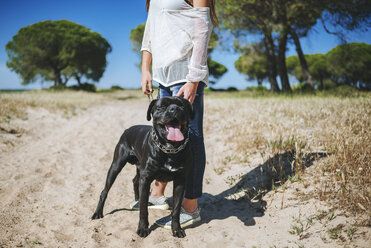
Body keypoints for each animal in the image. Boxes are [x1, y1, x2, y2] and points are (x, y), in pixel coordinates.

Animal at [91, 96, 195, 237]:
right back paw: (98, 213)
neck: (170, 149)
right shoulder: (146, 179)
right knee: (104, 191)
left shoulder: (180, 181)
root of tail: (127, 130)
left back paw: (137, 200)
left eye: (182, 106)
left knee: (135, 181)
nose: (174, 108)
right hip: (116, 165)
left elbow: (176, 209)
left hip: (139, 169)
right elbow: (144, 209)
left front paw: (176, 229)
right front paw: (143, 228)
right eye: (162, 107)